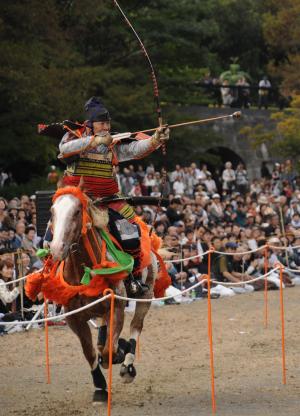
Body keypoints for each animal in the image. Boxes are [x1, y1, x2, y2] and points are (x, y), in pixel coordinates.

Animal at [48, 185, 158, 404]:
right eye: (53, 212)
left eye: (77, 211)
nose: (56, 249)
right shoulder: (75, 319)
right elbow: (89, 352)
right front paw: (99, 388)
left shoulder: (116, 308)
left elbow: (110, 350)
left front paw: (119, 355)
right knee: (102, 334)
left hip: (146, 293)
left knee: (135, 327)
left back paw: (127, 364)